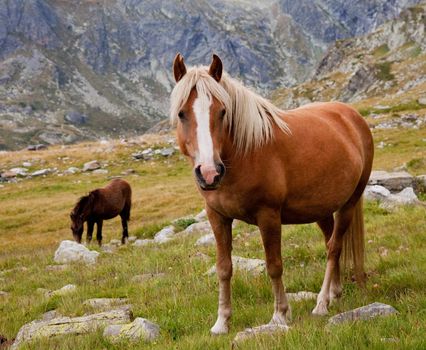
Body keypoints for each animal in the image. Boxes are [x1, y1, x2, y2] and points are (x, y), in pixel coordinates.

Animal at [171, 54, 374, 334]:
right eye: (182, 113)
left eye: (222, 112)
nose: (210, 173)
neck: (245, 153)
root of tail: (353, 116)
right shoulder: (217, 217)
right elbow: (223, 268)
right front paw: (221, 322)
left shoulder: (268, 216)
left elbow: (274, 265)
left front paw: (280, 315)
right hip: (322, 209)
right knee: (332, 242)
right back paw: (334, 294)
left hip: (350, 203)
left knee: (334, 248)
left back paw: (322, 303)